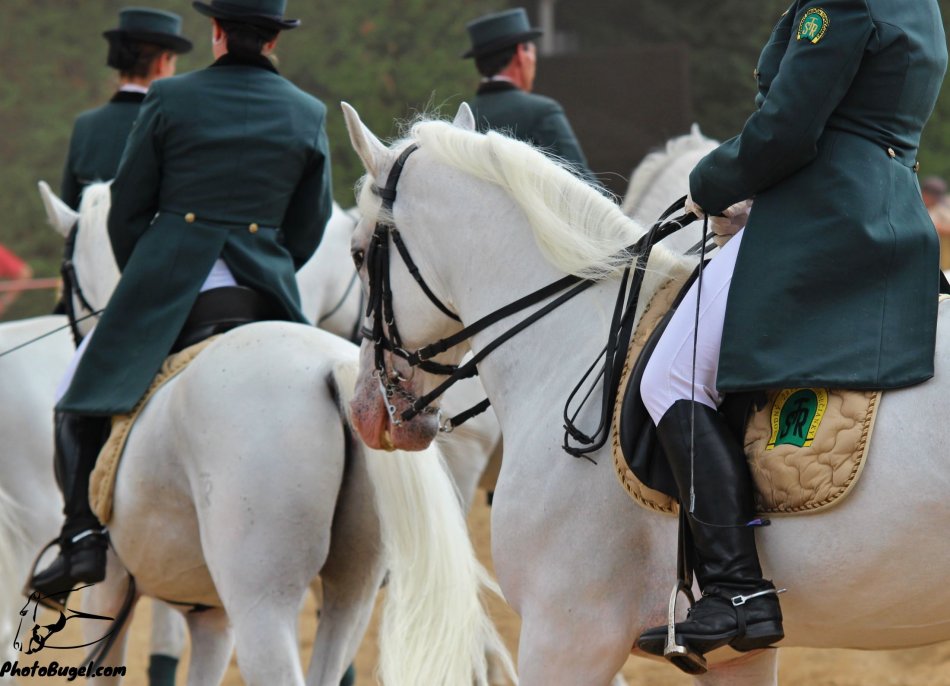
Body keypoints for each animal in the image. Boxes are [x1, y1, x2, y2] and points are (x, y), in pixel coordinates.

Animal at [22, 181, 513, 685]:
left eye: (66, 272)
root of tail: (329, 367)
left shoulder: (111, 587)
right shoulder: (211, 615)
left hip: (262, 603)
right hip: (351, 594)